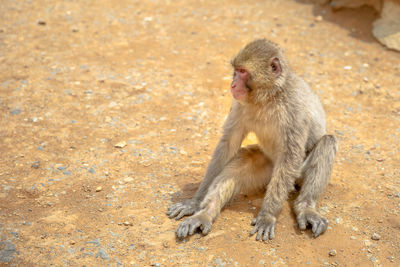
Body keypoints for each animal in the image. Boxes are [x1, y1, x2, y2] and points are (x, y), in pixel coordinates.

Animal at [166, 38, 338, 242]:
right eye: (236, 70)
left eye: (242, 72)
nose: (232, 85)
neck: (269, 96)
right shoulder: (240, 104)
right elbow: (228, 144)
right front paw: (195, 202)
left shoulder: (294, 109)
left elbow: (291, 156)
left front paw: (267, 216)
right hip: (267, 171)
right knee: (242, 160)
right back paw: (205, 213)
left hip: (294, 175)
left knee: (327, 143)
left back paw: (305, 207)